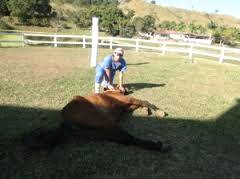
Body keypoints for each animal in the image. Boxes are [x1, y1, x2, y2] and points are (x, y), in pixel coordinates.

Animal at [22, 89, 172, 152]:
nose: (127, 90)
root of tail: (65, 120)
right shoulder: (128, 100)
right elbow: (145, 101)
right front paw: (159, 111)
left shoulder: (127, 106)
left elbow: (142, 104)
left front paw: (147, 111)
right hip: (106, 123)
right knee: (127, 137)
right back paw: (159, 146)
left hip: (99, 132)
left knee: (125, 139)